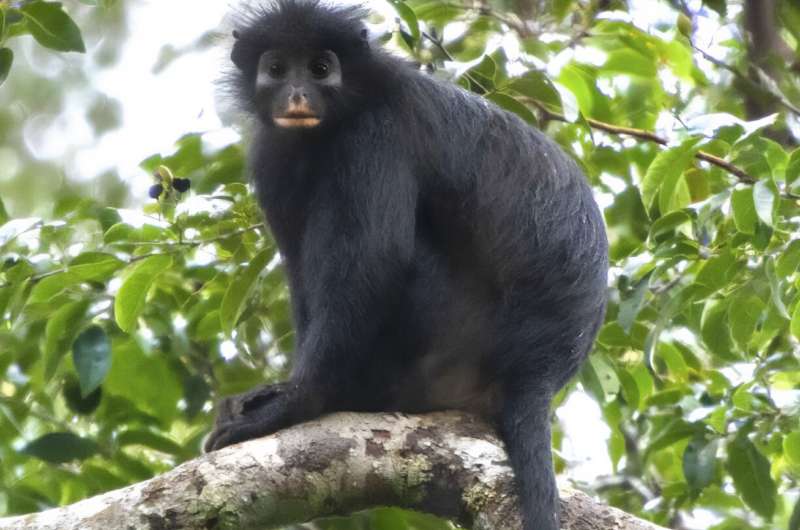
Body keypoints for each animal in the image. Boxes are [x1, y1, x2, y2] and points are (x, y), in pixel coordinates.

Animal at [205, 2, 608, 529]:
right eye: (276, 68)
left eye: (320, 68)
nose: (297, 94)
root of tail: (539, 370)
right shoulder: (273, 157)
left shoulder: (376, 134)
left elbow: (375, 261)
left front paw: (300, 401)